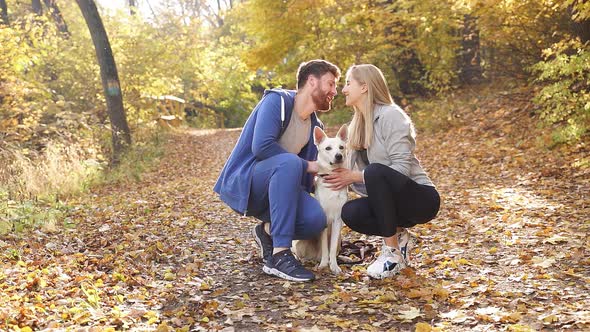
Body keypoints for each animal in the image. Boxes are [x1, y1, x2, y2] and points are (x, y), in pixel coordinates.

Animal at [294, 124, 350, 274]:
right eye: (328, 148)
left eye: (341, 147)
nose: (339, 156)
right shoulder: (324, 220)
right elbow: (325, 247)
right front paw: (324, 264)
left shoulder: (337, 220)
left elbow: (332, 248)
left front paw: (334, 266)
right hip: (299, 243)